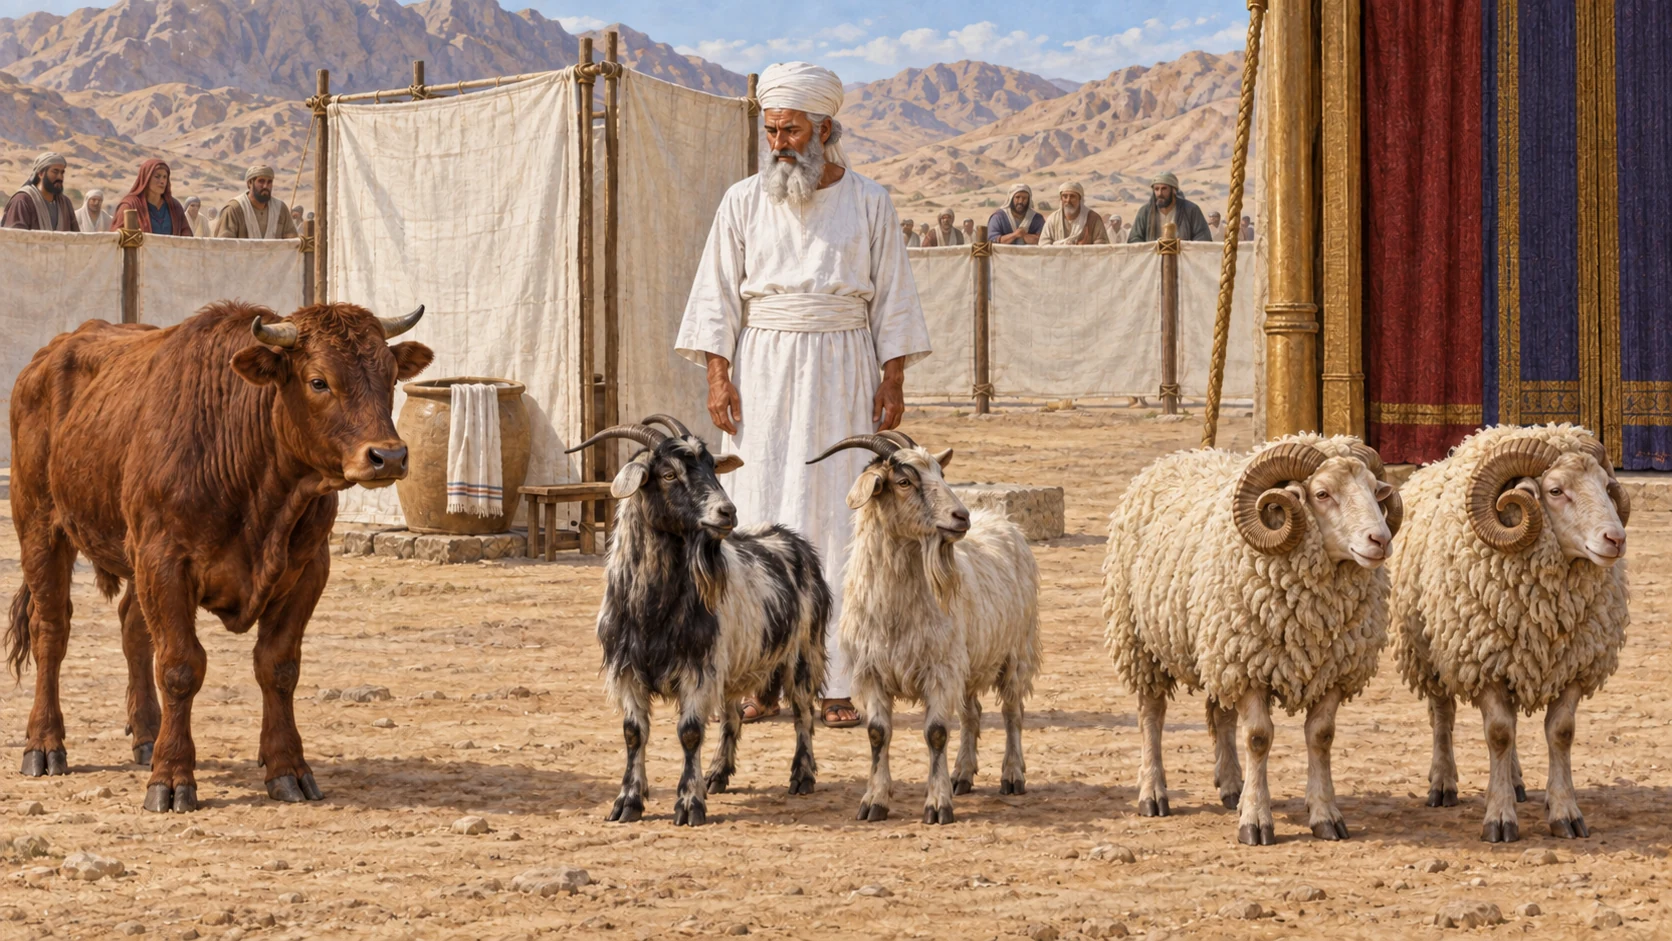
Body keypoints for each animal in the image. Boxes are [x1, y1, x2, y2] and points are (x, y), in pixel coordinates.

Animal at [6, 300, 433, 812]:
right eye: (318, 381)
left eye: (390, 377)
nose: (389, 457)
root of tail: (49, 354)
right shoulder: (164, 562)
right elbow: (180, 667)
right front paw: (171, 777)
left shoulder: (308, 568)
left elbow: (278, 667)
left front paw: (287, 768)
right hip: (40, 527)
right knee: (51, 630)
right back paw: (44, 743)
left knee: (132, 628)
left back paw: (147, 736)